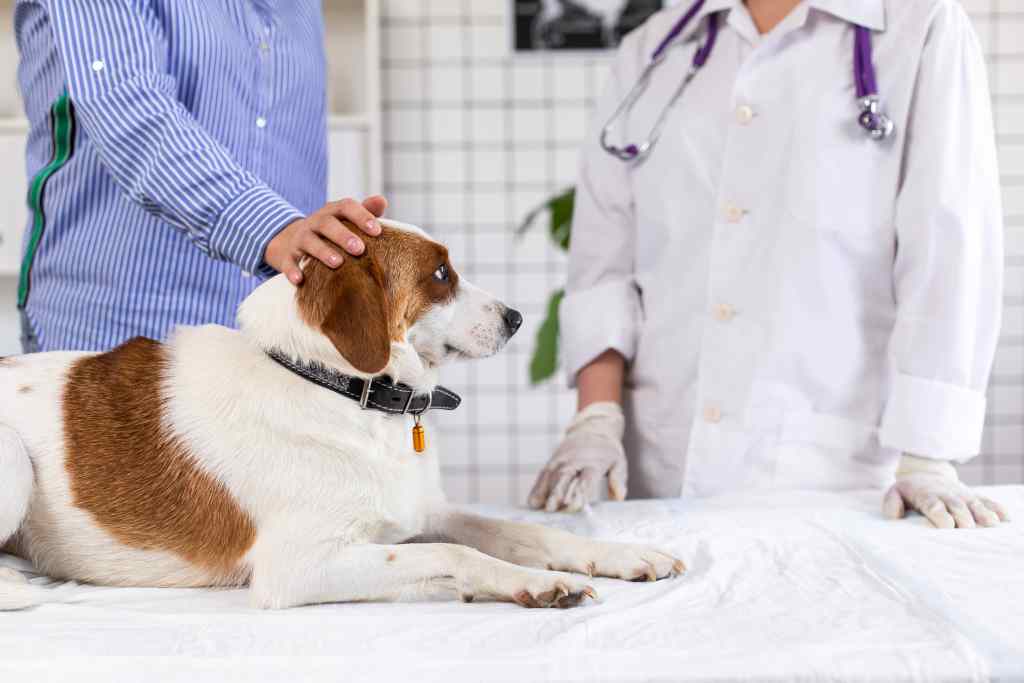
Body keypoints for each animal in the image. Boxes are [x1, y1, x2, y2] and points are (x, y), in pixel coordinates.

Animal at [2, 218, 688, 610]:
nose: (519, 318)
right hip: (13, 462)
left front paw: (626, 556)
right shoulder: (299, 568)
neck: (339, 390)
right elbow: (456, 556)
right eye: (442, 273)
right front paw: (537, 585)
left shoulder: (424, 515)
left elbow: (530, 535)